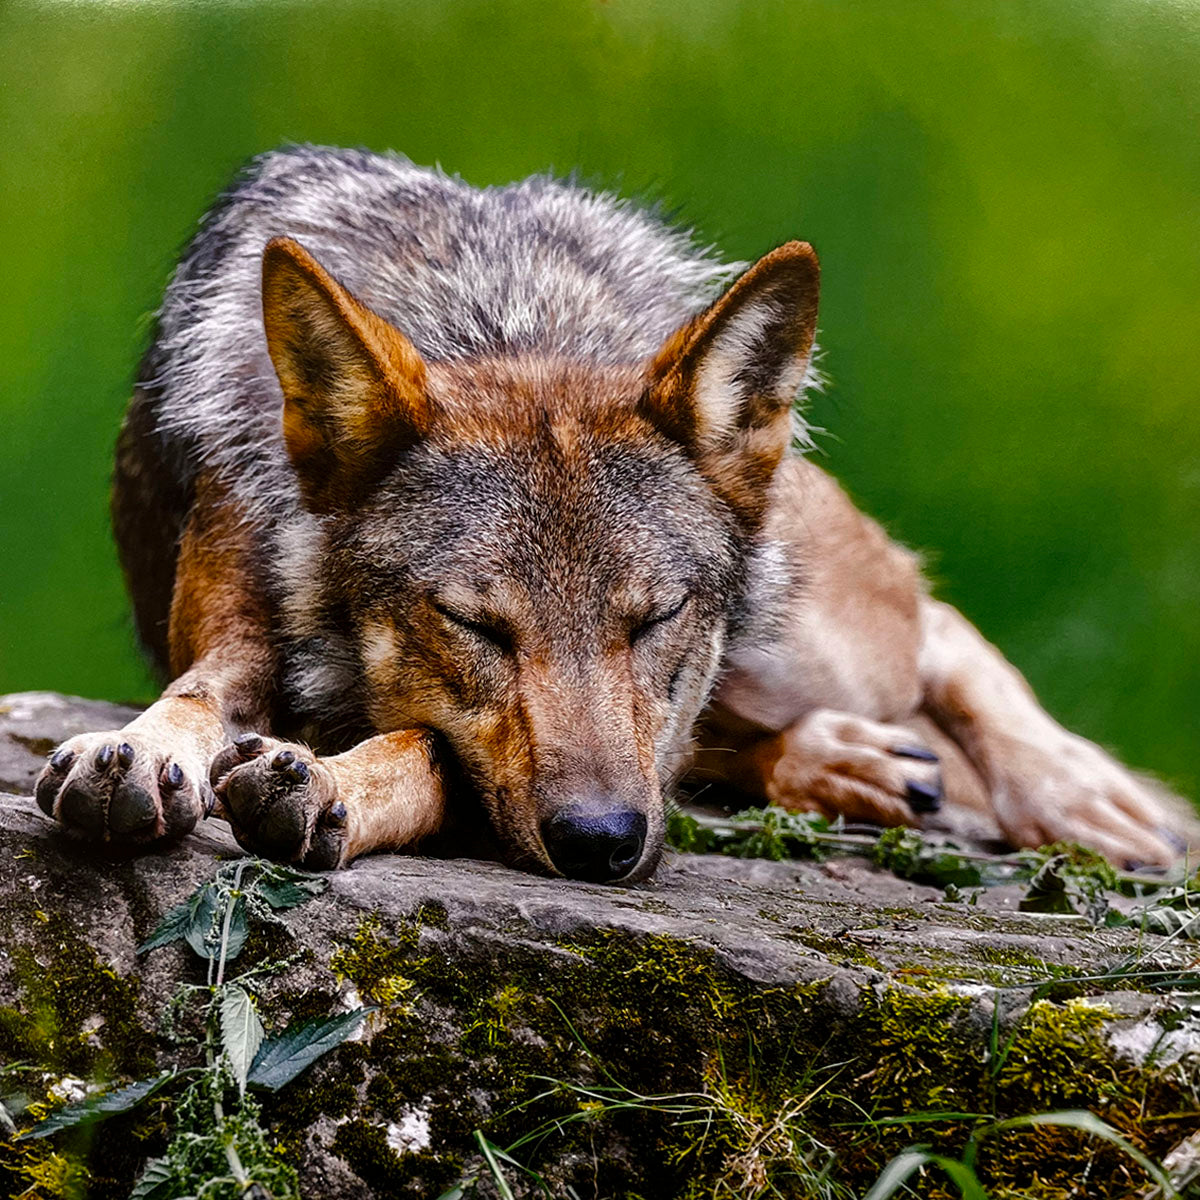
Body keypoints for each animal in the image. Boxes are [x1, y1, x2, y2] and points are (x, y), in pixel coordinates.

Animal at [33, 145, 1191, 882]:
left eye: (654, 618)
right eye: (476, 624)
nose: (601, 843)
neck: (502, 317)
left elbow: (425, 752)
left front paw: (324, 785)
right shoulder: (236, 615)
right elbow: (204, 693)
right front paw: (144, 752)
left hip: (814, 642)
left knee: (931, 625)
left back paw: (1075, 796)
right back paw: (840, 764)